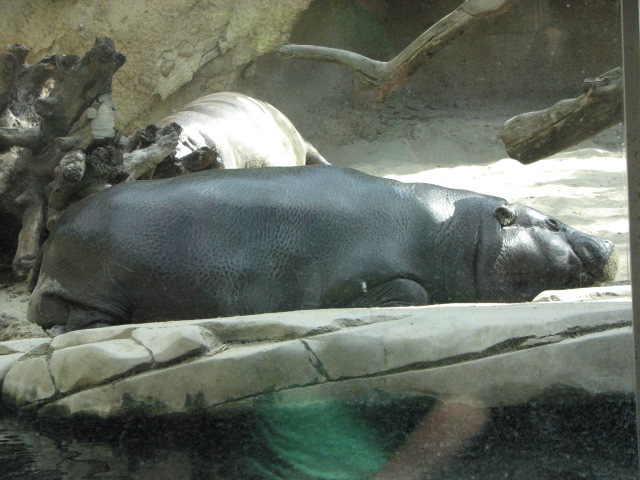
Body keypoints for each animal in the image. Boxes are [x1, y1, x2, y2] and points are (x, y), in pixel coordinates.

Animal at [28, 166, 617, 331]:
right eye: (553, 221)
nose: (611, 240)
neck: (459, 231)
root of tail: (56, 224)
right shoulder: (369, 274)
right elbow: (412, 290)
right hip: (92, 289)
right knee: (60, 313)